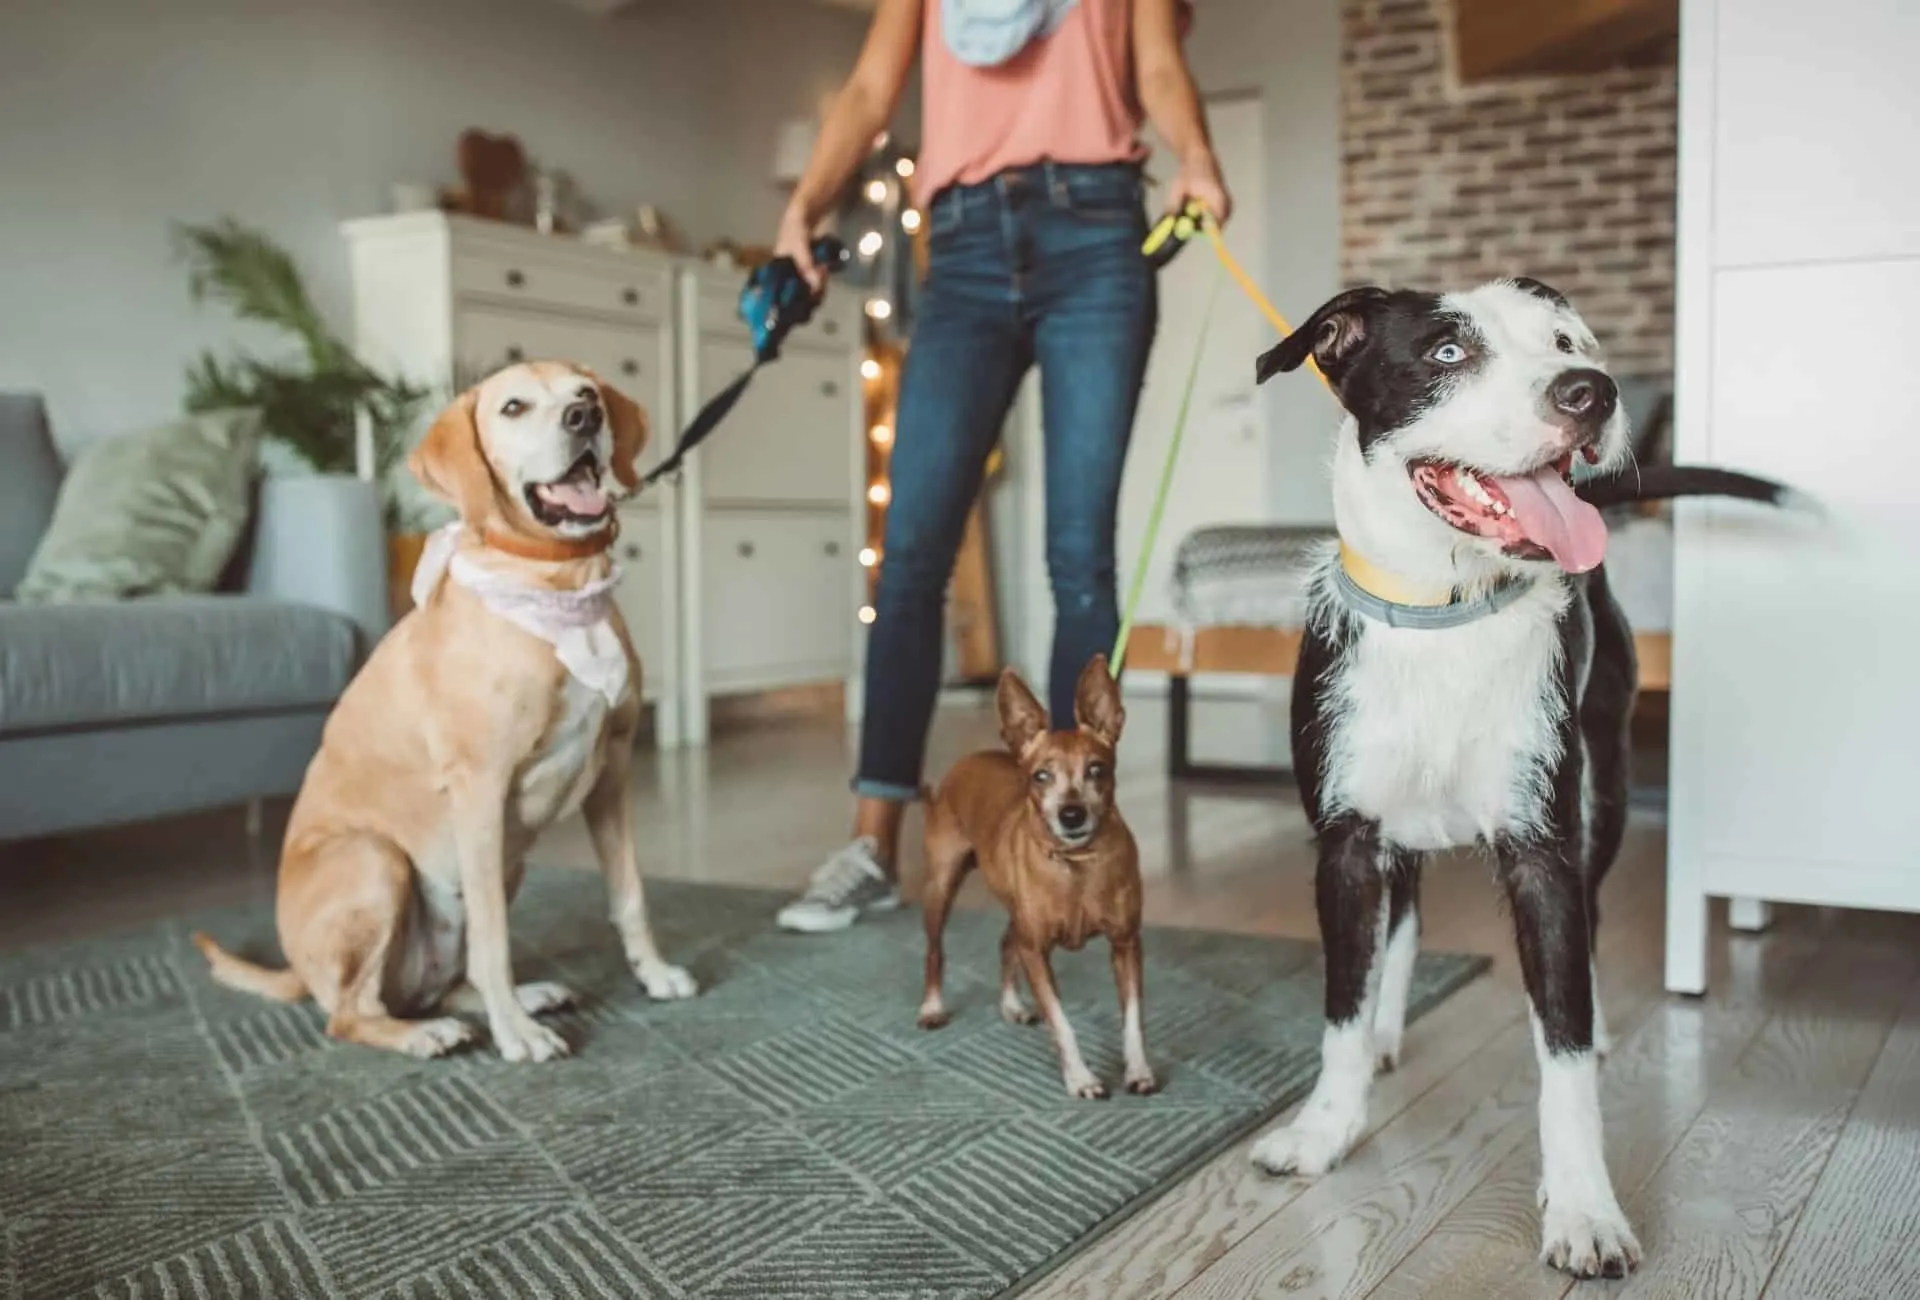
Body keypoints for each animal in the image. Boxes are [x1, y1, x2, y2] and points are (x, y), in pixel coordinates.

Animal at [192, 359, 698, 1059]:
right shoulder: (480, 788)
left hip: (505, 863)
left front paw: (654, 973)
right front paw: (518, 1037)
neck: (556, 584)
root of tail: (297, 969)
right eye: (513, 407)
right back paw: (427, 1033)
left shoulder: (613, 774)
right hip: (378, 862)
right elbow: (494, 939)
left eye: (586, 392)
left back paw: (517, 998)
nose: (585, 418)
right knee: (350, 1013)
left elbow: (630, 894)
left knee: (444, 984)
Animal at [917, 660, 1152, 1098]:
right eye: (1041, 776)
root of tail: (968, 761)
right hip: (941, 886)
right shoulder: (1038, 952)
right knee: (935, 951)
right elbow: (1062, 1022)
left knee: (1005, 942)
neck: (1074, 863)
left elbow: (1132, 1018)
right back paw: (932, 1008)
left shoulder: (1126, 945)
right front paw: (1081, 1079)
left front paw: (1138, 1070)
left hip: (1015, 913)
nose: (1072, 815)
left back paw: (1011, 1005)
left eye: (1096, 770)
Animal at [1251, 276, 1789, 1275]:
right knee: (1405, 922)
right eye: (1447, 353)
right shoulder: (1345, 843)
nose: (1593, 393)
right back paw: (1389, 1030)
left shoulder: (1543, 852)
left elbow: (1563, 1054)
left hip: (1602, 792)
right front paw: (1325, 1129)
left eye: (1565, 342)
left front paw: (1583, 1208)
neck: (1441, 613)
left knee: (1592, 915)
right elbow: (1341, 1007)